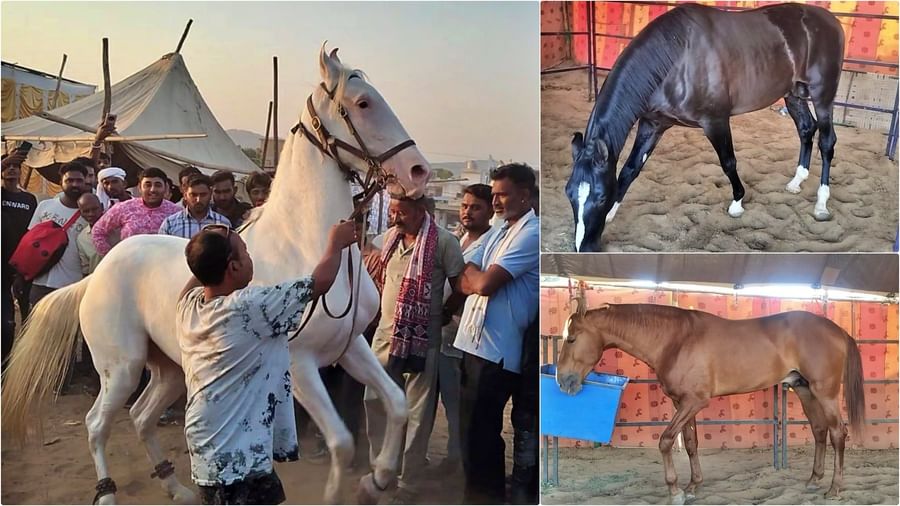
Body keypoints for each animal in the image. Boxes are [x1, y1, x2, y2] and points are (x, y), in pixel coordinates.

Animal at [1, 44, 431, 505]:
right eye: (363, 103)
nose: (419, 172)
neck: (305, 247)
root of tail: (97, 275)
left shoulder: (350, 347)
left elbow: (397, 404)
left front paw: (379, 478)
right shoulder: (300, 365)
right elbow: (342, 442)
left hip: (168, 370)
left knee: (141, 416)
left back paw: (176, 488)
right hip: (122, 368)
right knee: (97, 424)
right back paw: (108, 493)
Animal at [555, 303, 865, 505]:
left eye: (571, 339)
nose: (562, 381)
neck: (675, 340)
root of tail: (838, 330)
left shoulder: (694, 402)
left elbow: (665, 441)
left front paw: (675, 491)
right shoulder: (682, 403)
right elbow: (691, 443)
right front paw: (693, 485)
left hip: (824, 392)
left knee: (838, 434)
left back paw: (834, 489)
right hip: (805, 391)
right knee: (820, 432)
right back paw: (813, 480)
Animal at [566, 3, 844, 252]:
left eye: (601, 196)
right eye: (568, 193)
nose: (585, 247)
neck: (677, 57)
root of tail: (831, 21)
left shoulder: (715, 121)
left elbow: (728, 162)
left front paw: (737, 202)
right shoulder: (653, 124)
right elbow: (630, 169)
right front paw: (612, 213)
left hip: (823, 95)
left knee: (827, 142)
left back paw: (821, 204)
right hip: (793, 93)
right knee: (806, 129)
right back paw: (797, 181)